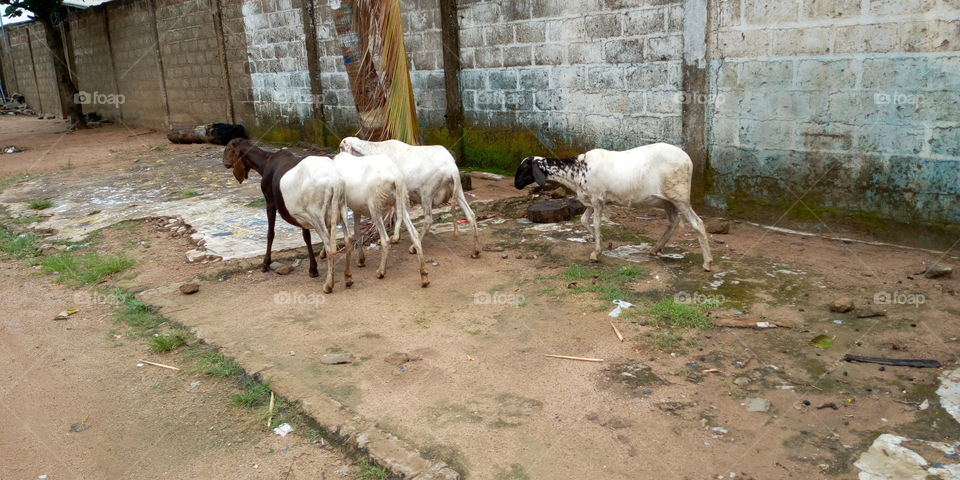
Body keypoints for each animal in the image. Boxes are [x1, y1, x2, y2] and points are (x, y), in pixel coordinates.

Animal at [223, 139, 353, 293]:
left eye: (228, 149)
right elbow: (306, 238)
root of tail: (334, 182)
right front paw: (313, 269)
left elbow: (270, 233)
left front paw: (265, 263)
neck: (266, 162)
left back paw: (328, 285)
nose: (224, 163)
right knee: (348, 240)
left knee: (330, 247)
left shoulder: (270, 202)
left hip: (317, 217)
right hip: (341, 207)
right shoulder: (301, 215)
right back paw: (348, 278)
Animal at [331, 151, 430, 287]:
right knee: (414, 234)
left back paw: (381, 271)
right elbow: (357, 231)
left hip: (375, 207)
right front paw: (361, 260)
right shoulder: (357, 208)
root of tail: (396, 177)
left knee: (385, 240)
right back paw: (424, 276)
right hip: (401, 200)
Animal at [339, 137, 480, 259]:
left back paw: (413, 248)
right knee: (470, 215)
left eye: (341, 147)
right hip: (458, 191)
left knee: (428, 220)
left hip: (426, 193)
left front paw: (395, 238)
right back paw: (475, 252)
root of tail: (451, 167)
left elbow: (399, 215)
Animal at [514, 143, 714, 271]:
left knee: (697, 224)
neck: (575, 171)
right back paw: (655, 249)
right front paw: (603, 244)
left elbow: (596, 223)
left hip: (679, 197)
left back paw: (707, 263)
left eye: (524, 168)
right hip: (667, 200)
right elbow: (584, 220)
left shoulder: (597, 198)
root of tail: (689, 160)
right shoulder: (594, 200)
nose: (516, 185)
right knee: (672, 222)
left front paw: (596, 253)